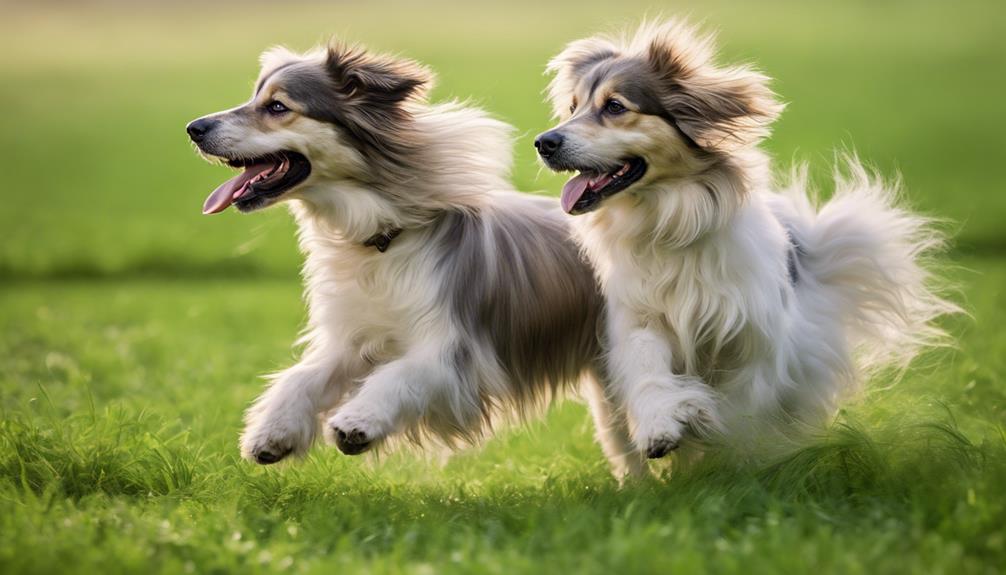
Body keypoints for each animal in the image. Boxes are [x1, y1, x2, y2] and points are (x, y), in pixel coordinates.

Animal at [185, 42, 647, 478]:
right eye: (256, 97)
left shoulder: (451, 352)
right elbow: (302, 377)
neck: (382, 240)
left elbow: (397, 376)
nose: (193, 127)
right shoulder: (352, 338)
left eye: (277, 107)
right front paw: (272, 432)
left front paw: (356, 422)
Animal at [539, 20, 953, 460]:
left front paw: (721, 439)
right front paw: (662, 425)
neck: (669, 220)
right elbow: (647, 369)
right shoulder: (639, 316)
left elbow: (741, 407)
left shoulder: (755, 339)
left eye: (615, 106)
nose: (544, 142)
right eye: (573, 108)